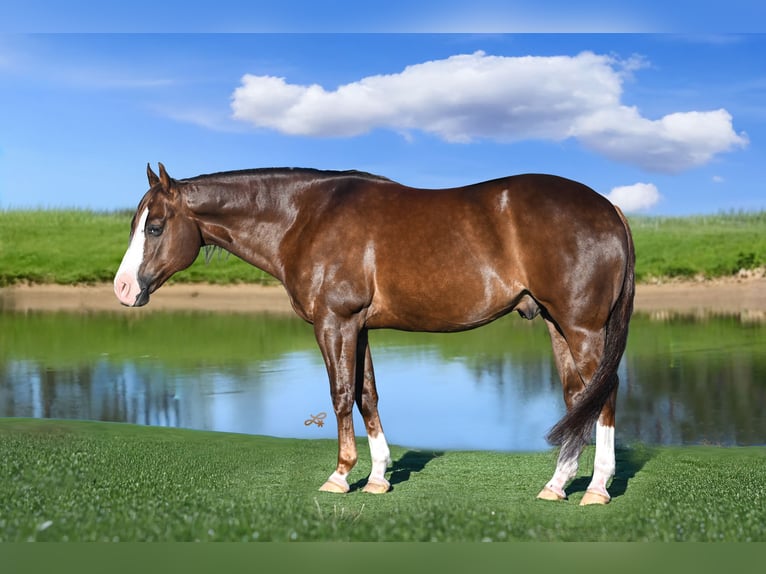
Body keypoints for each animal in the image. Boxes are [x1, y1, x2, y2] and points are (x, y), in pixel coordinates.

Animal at [114, 163, 635, 505]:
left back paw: (596, 488)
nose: (122, 289)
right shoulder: (358, 327)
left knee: (604, 393)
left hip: (583, 326)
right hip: (556, 324)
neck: (304, 218)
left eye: (155, 227)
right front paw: (379, 477)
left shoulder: (335, 322)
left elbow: (341, 394)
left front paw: (341, 475)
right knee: (577, 398)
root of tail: (609, 207)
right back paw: (556, 485)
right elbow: (368, 395)